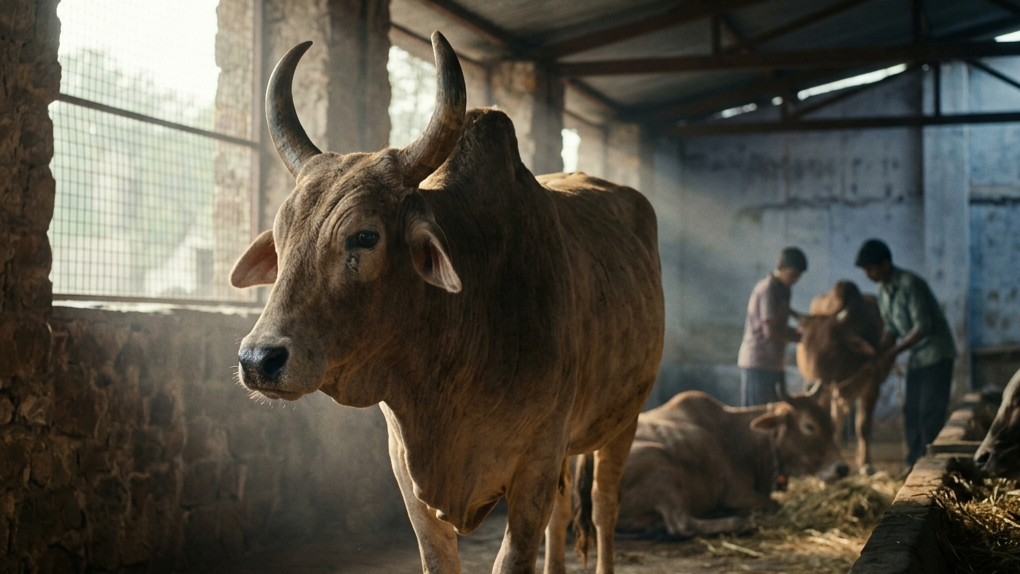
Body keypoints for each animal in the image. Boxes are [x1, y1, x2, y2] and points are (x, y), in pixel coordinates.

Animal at [230, 33, 664, 574]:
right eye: (281, 236)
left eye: (365, 236)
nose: (258, 359)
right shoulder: (408, 473)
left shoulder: (536, 465)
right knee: (565, 515)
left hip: (625, 417)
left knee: (604, 506)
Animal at [571, 389, 844, 544]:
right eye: (809, 426)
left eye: (832, 423)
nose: (842, 468)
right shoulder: (735, 493)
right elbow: (776, 504)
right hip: (659, 462)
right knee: (682, 524)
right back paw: (740, 523)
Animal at [796, 280, 903, 473]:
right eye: (804, 346)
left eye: (832, 347)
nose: (809, 385)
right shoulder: (826, 390)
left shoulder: (872, 385)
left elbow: (863, 425)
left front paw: (866, 463)